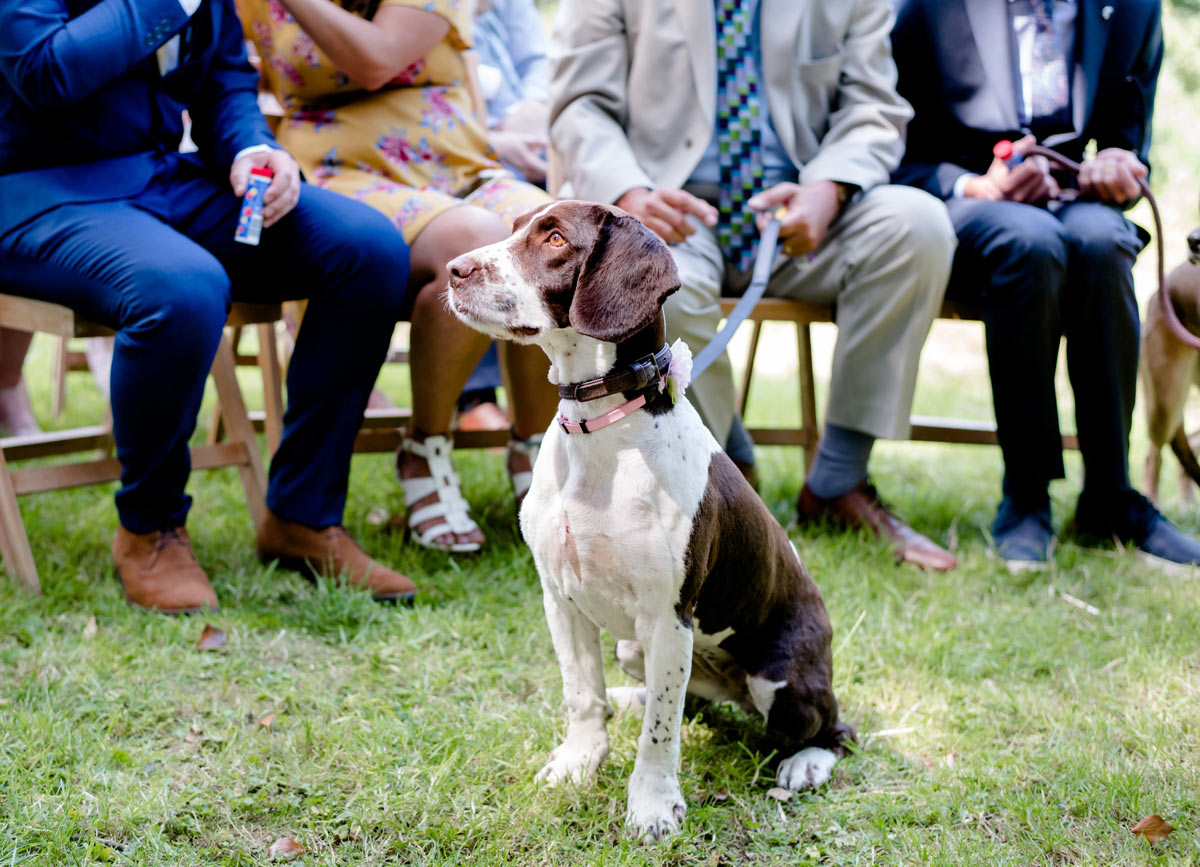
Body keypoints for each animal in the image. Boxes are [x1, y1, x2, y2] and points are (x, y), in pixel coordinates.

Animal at [444, 200, 854, 835]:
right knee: (693, 701)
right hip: (635, 651)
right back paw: (631, 700)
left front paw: (654, 804)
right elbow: (583, 696)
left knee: (833, 729)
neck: (602, 428)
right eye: (514, 228)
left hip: (779, 681)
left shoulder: (668, 617)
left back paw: (806, 761)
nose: (452, 269)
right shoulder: (560, 598)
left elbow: (659, 734)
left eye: (555, 238)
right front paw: (579, 762)